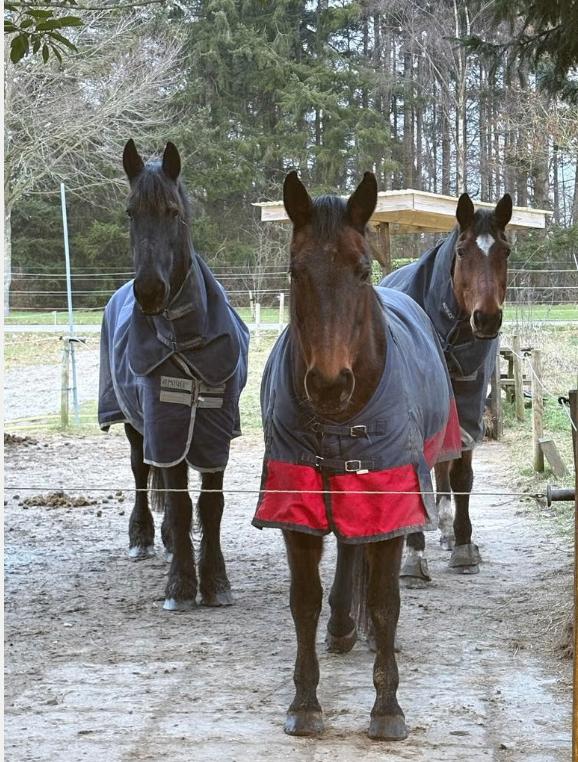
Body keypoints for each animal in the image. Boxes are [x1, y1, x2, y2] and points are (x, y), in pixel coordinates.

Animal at [98, 140, 249, 611]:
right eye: (131, 212)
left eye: (173, 211)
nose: (149, 291)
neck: (187, 340)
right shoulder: (167, 424)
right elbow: (181, 504)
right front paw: (182, 585)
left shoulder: (214, 428)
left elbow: (211, 505)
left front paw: (215, 582)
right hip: (135, 424)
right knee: (140, 473)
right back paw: (144, 538)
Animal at [252, 171, 461, 740]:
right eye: (295, 270)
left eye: (361, 270)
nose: (328, 384)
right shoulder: (297, 498)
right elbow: (303, 601)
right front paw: (305, 704)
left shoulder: (389, 494)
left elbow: (387, 604)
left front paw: (387, 710)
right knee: (348, 549)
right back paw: (344, 623)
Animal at [382, 192, 512, 580]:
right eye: (462, 251)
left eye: (505, 251)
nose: (487, 318)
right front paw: (413, 554)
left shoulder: (468, 405)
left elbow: (461, 474)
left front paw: (464, 545)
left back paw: (445, 526)